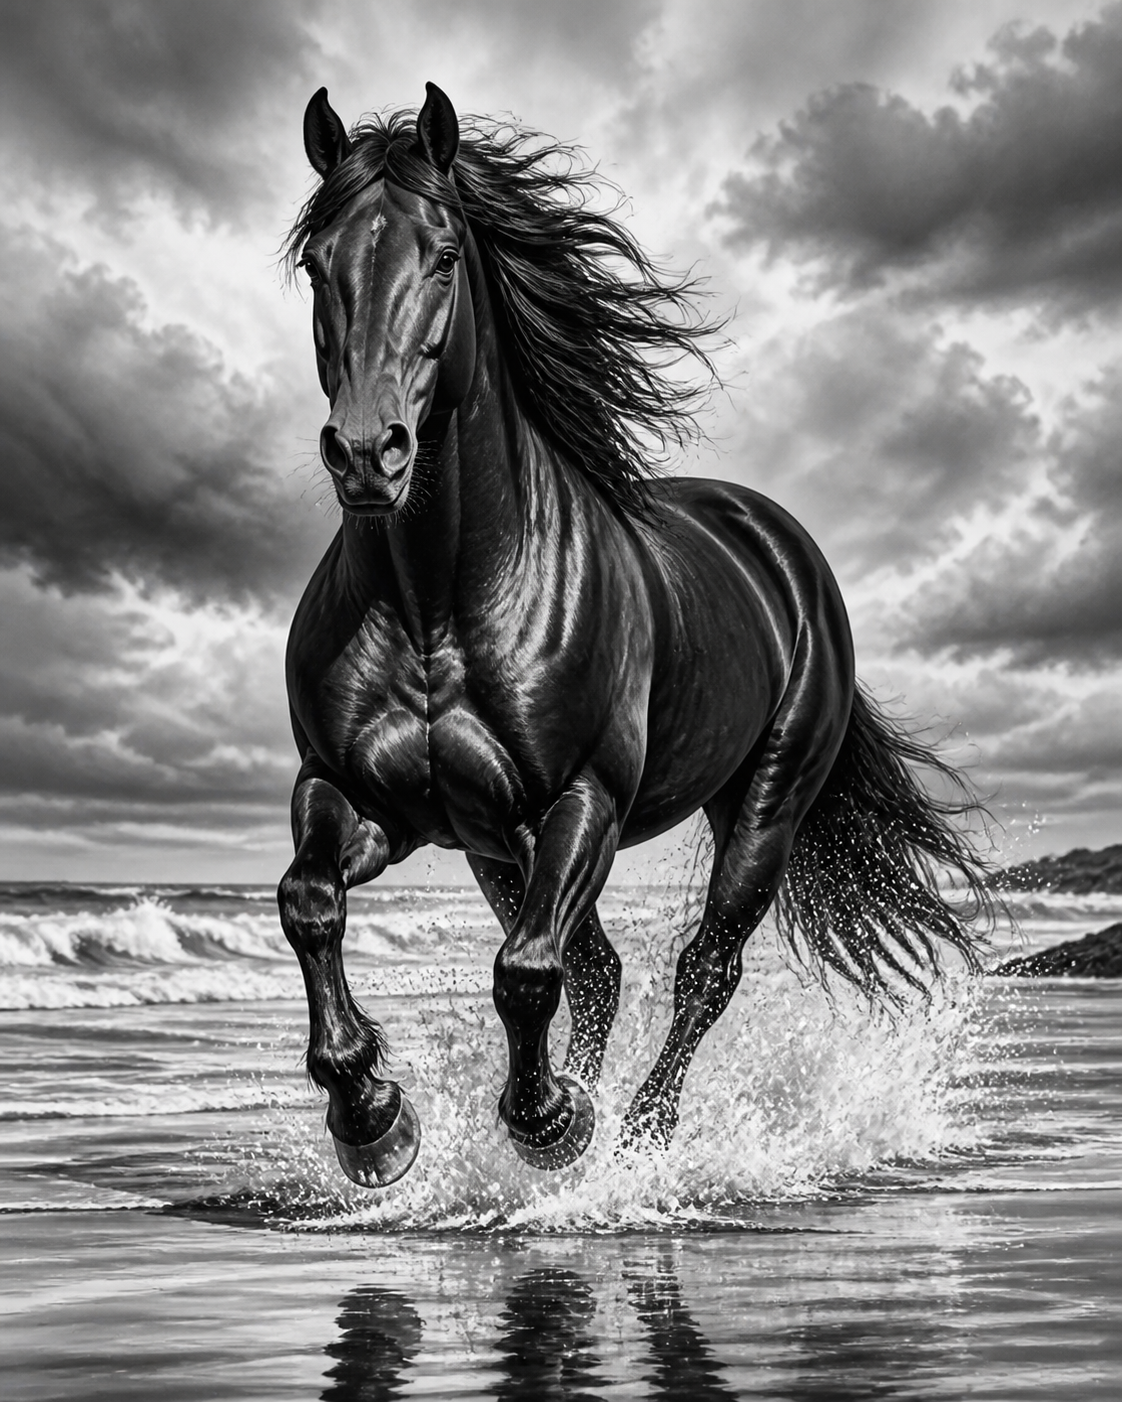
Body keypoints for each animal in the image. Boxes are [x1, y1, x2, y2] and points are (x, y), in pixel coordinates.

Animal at [277, 82, 991, 1189]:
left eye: (443, 253)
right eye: (319, 262)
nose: (367, 452)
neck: (438, 598)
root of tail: (782, 547)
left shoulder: (585, 802)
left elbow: (526, 973)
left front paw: (550, 1123)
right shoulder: (359, 795)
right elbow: (309, 902)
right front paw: (373, 1119)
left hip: (763, 802)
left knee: (701, 969)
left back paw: (643, 1136)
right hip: (496, 846)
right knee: (604, 969)